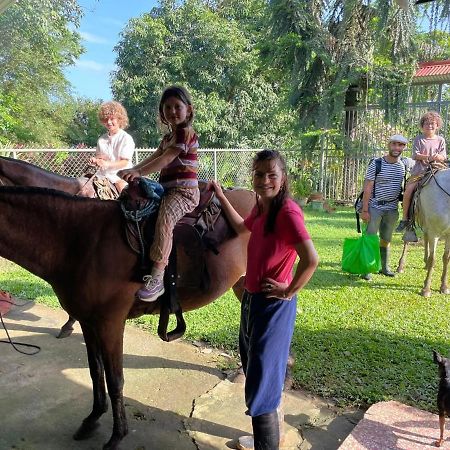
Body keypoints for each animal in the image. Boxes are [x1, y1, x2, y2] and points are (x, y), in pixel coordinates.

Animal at [0, 184, 253, 450]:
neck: (79, 242)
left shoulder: (110, 324)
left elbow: (115, 380)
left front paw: (117, 435)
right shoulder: (88, 322)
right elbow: (95, 371)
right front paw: (92, 418)